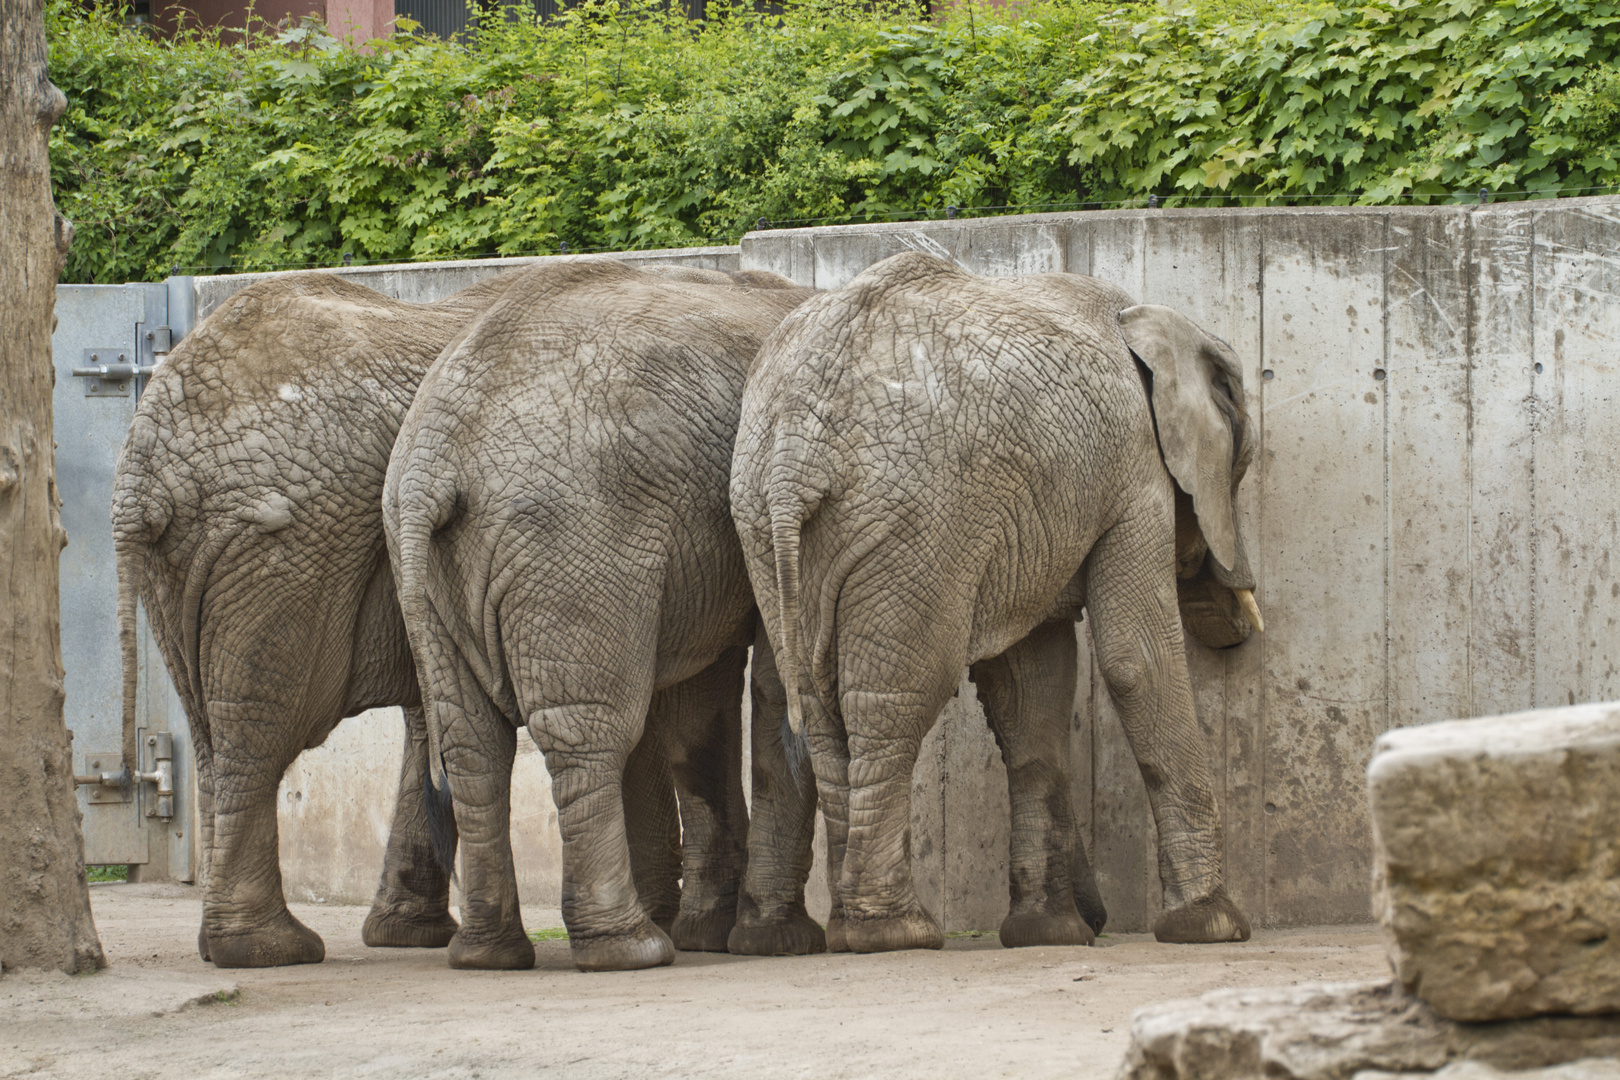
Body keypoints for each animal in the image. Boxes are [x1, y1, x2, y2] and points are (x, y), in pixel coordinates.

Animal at [110, 272, 693, 971]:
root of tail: (146, 460)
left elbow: (431, 720)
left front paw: (409, 935)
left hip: (197, 557)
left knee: (213, 731)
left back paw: (236, 943)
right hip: (283, 540)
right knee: (257, 729)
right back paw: (270, 950)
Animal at [385, 257, 829, 977]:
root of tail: (434, 462)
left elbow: (694, 710)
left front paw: (709, 931)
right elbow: (761, 688)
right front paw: (776, 941)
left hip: (424, 568)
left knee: (471, 741)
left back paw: (490, 955)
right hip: (573, 541)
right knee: (590, 730)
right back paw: (630, 948)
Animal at [735, 250, 1263, 952]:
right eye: (1240, 466)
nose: (1235, 626)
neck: (1146, 320)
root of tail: (793, 452)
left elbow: (1029, 688)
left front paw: (1050, 934)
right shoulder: (1136, 470)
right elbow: (1137, 660)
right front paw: (1214, 925)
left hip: (765, 528)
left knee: (819, 702)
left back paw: (853, 927)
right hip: (916, 525)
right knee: (896, 695)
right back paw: (896, 933)